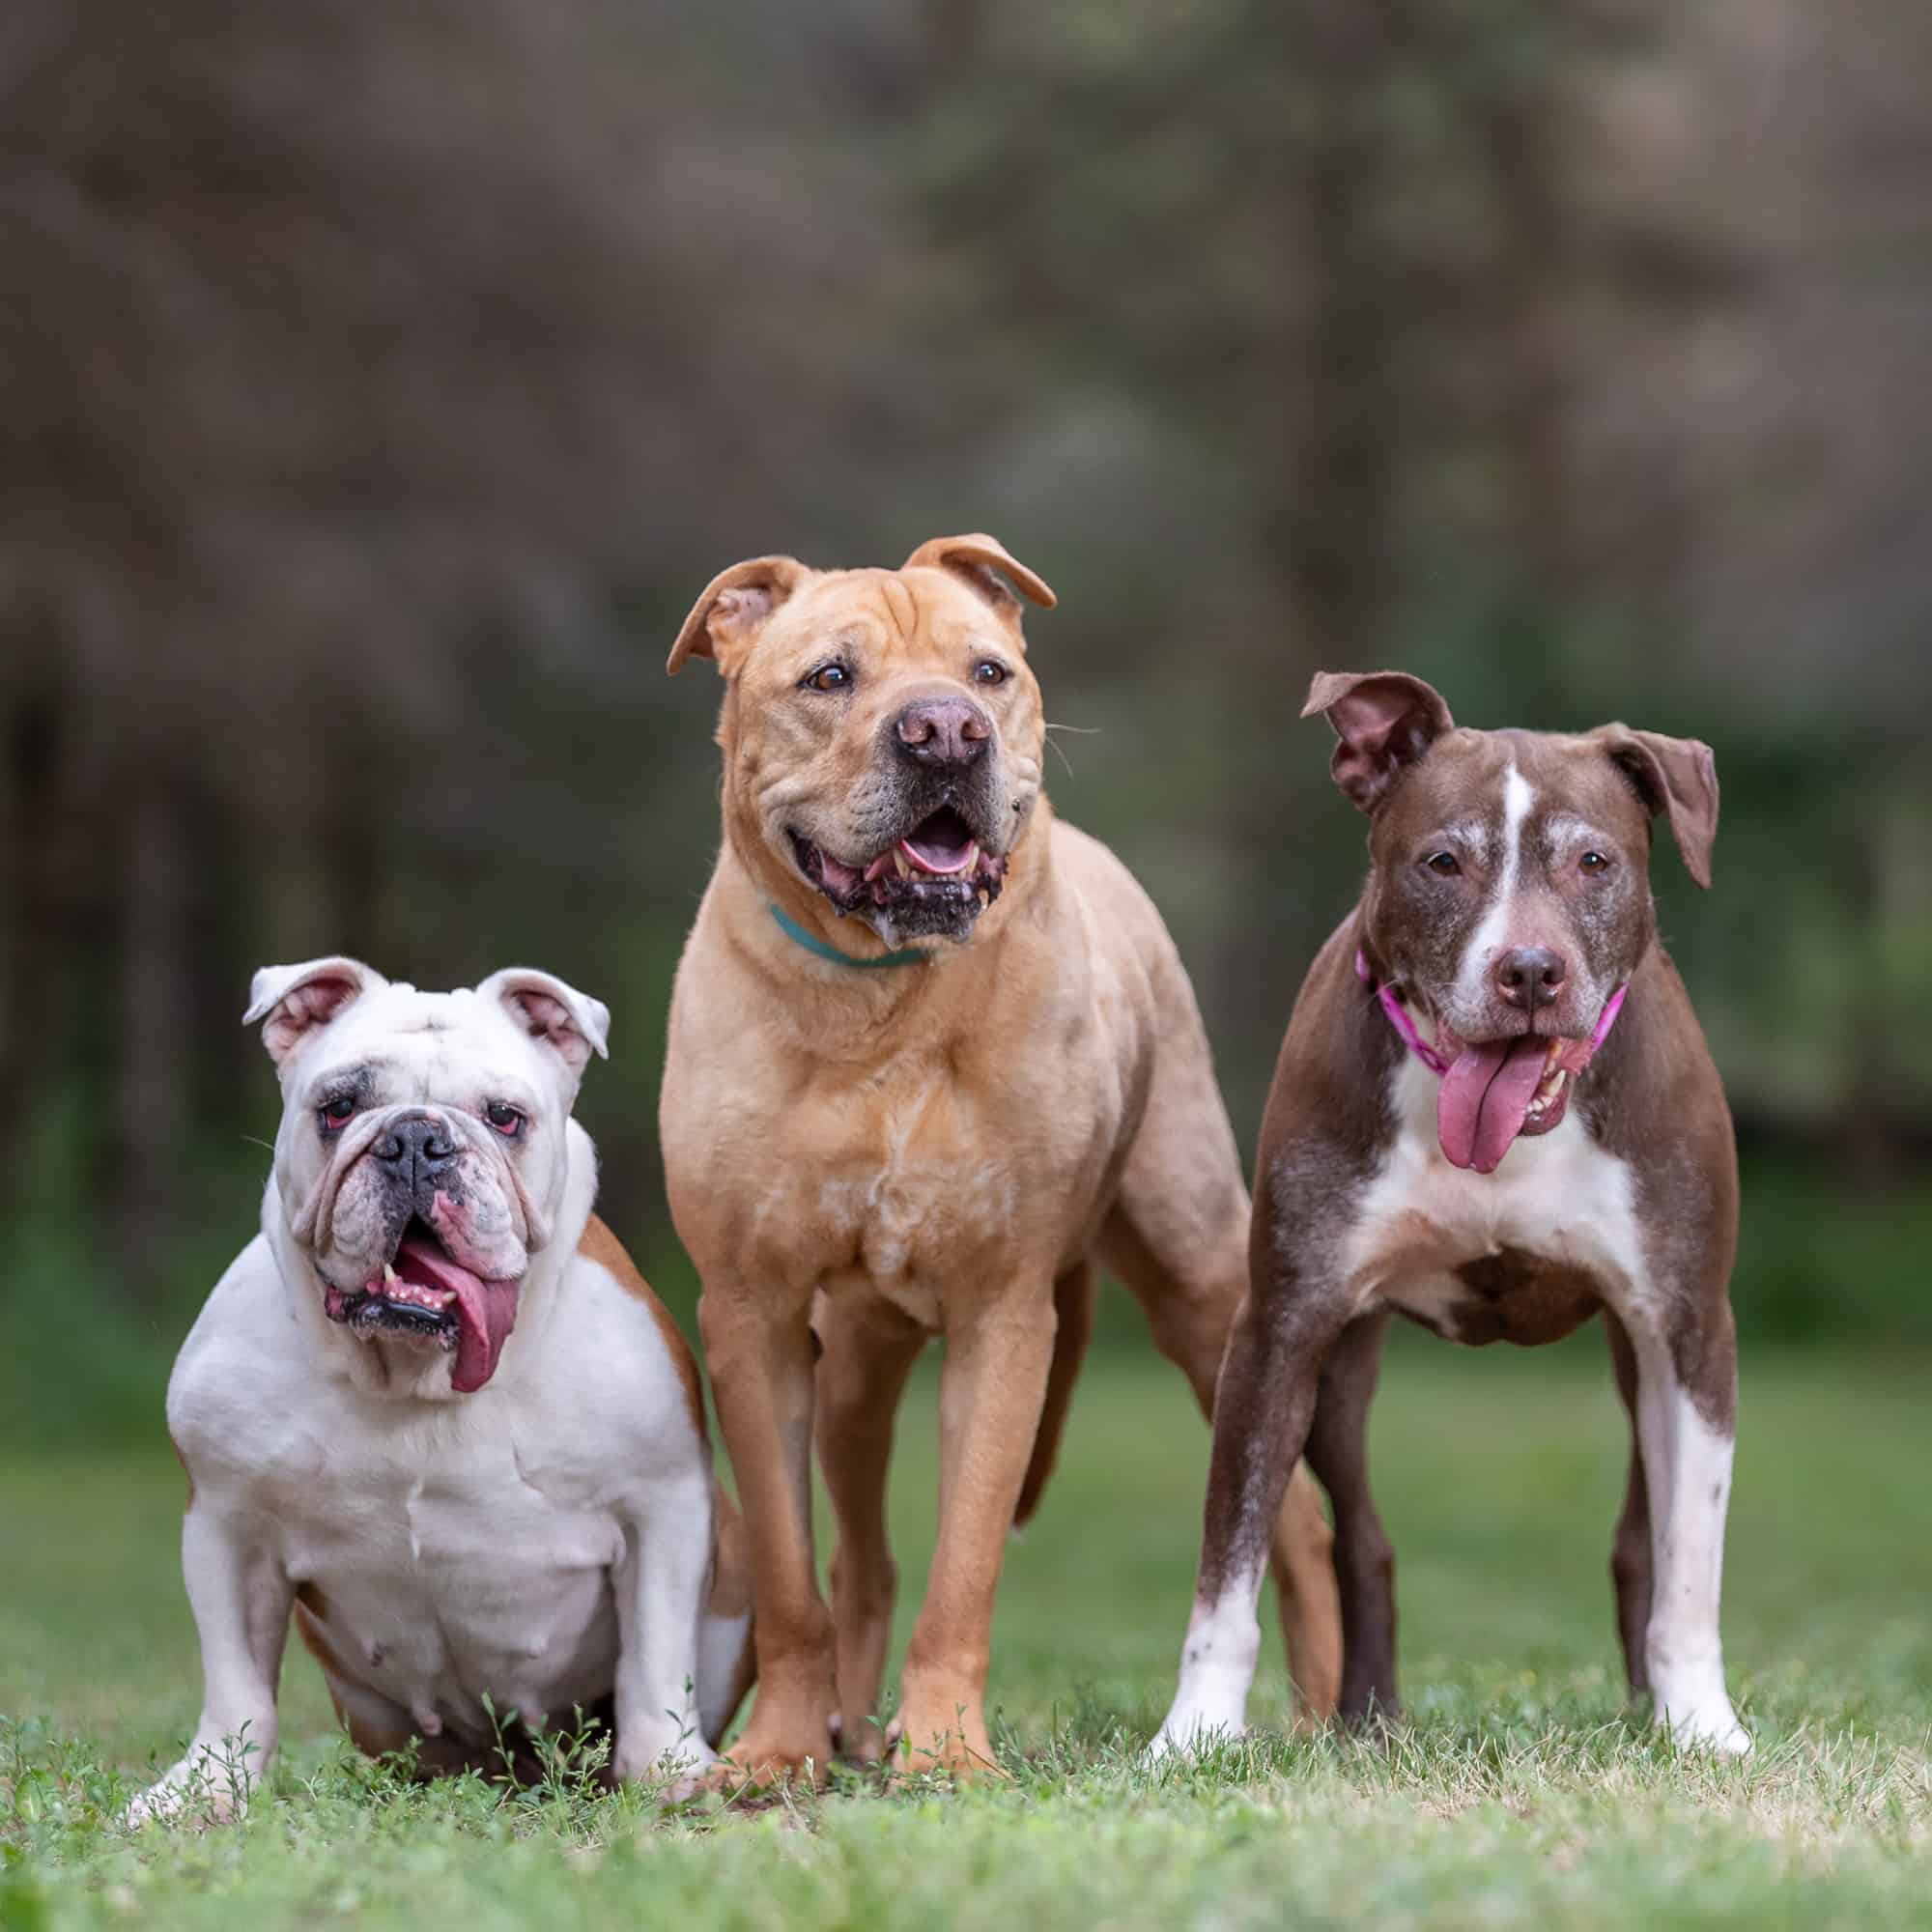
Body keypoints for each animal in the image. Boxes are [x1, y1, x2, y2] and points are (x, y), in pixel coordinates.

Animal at [132, 966, 750, 1824]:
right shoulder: (227, 1524)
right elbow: (236, 1682)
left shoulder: (663, 1506)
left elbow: (657, 1654)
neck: (416, 1373)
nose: (416, 1141)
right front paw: (205, 1790)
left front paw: (669, 1770)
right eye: (337, 1108)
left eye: (504, 1117)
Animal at [657, 537, 1337, 1785]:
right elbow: (786, 1569)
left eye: (987, 671)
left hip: (1202, 1284)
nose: (944, 730)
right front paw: (778, 1753)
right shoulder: (751, 1313)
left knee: (1296, 1512)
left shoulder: (1005, 1313)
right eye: (829, 677)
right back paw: (847, 1724)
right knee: (859, 1553)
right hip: (853, 1361)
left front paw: (944, 1753)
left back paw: (1319, 1713)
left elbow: (965, 1560)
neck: (877, 997)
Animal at [1159, 676, 1754, 1770]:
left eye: (1592, 860)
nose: (1529, 971)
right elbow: (1229, 1564)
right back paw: (1366, 1716)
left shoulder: (1689, 1327)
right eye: (1443, 861)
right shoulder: (1277, 1329)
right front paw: (1192, 1734)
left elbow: (1690, 1559)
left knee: (1640, 1537)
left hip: (1636, 1356)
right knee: (1360, 1537)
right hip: (1339, 1372)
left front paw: (1701, 1722)